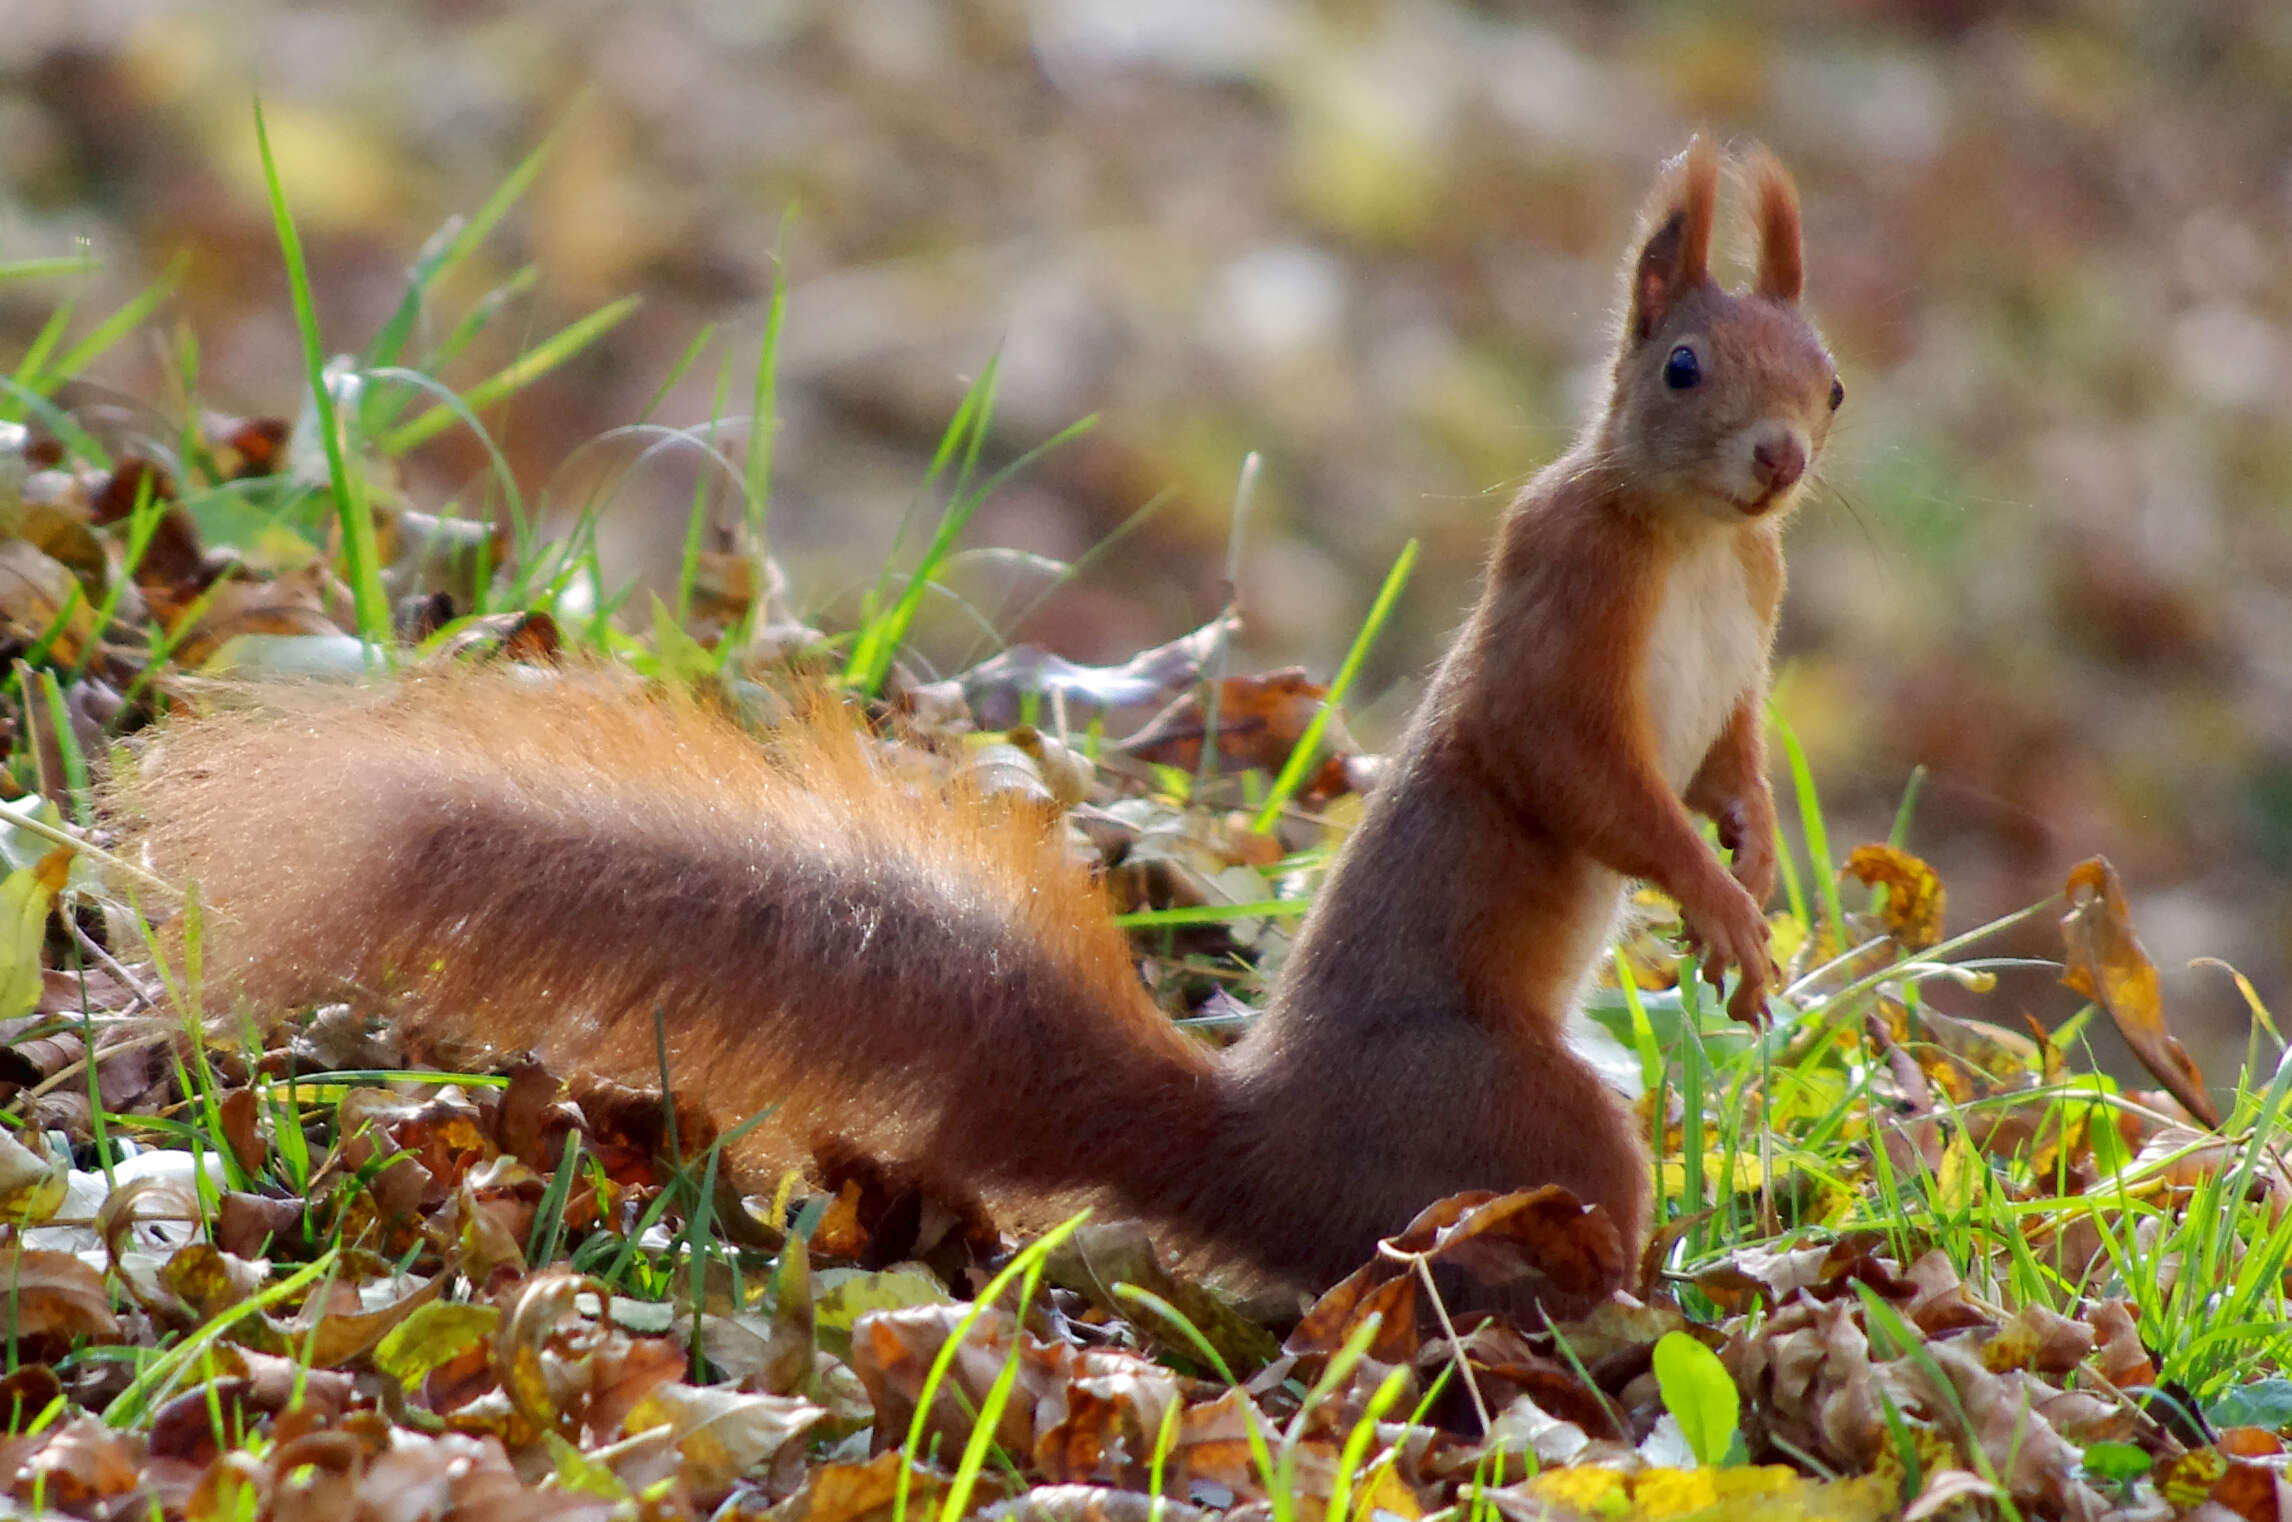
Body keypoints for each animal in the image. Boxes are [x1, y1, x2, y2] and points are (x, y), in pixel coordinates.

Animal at [125, 136, 1842, 1311]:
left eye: (1827, 382)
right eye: (1681, 365)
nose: (1779, 462)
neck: (1699, 539)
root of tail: (1264, 1137)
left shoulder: (1750, 607)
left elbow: (1723, 757)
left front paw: (1753, 859)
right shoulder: (1560, 604)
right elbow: (1575, 769)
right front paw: (1715, 900)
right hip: (1505, 1107)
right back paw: (1606, 1305)